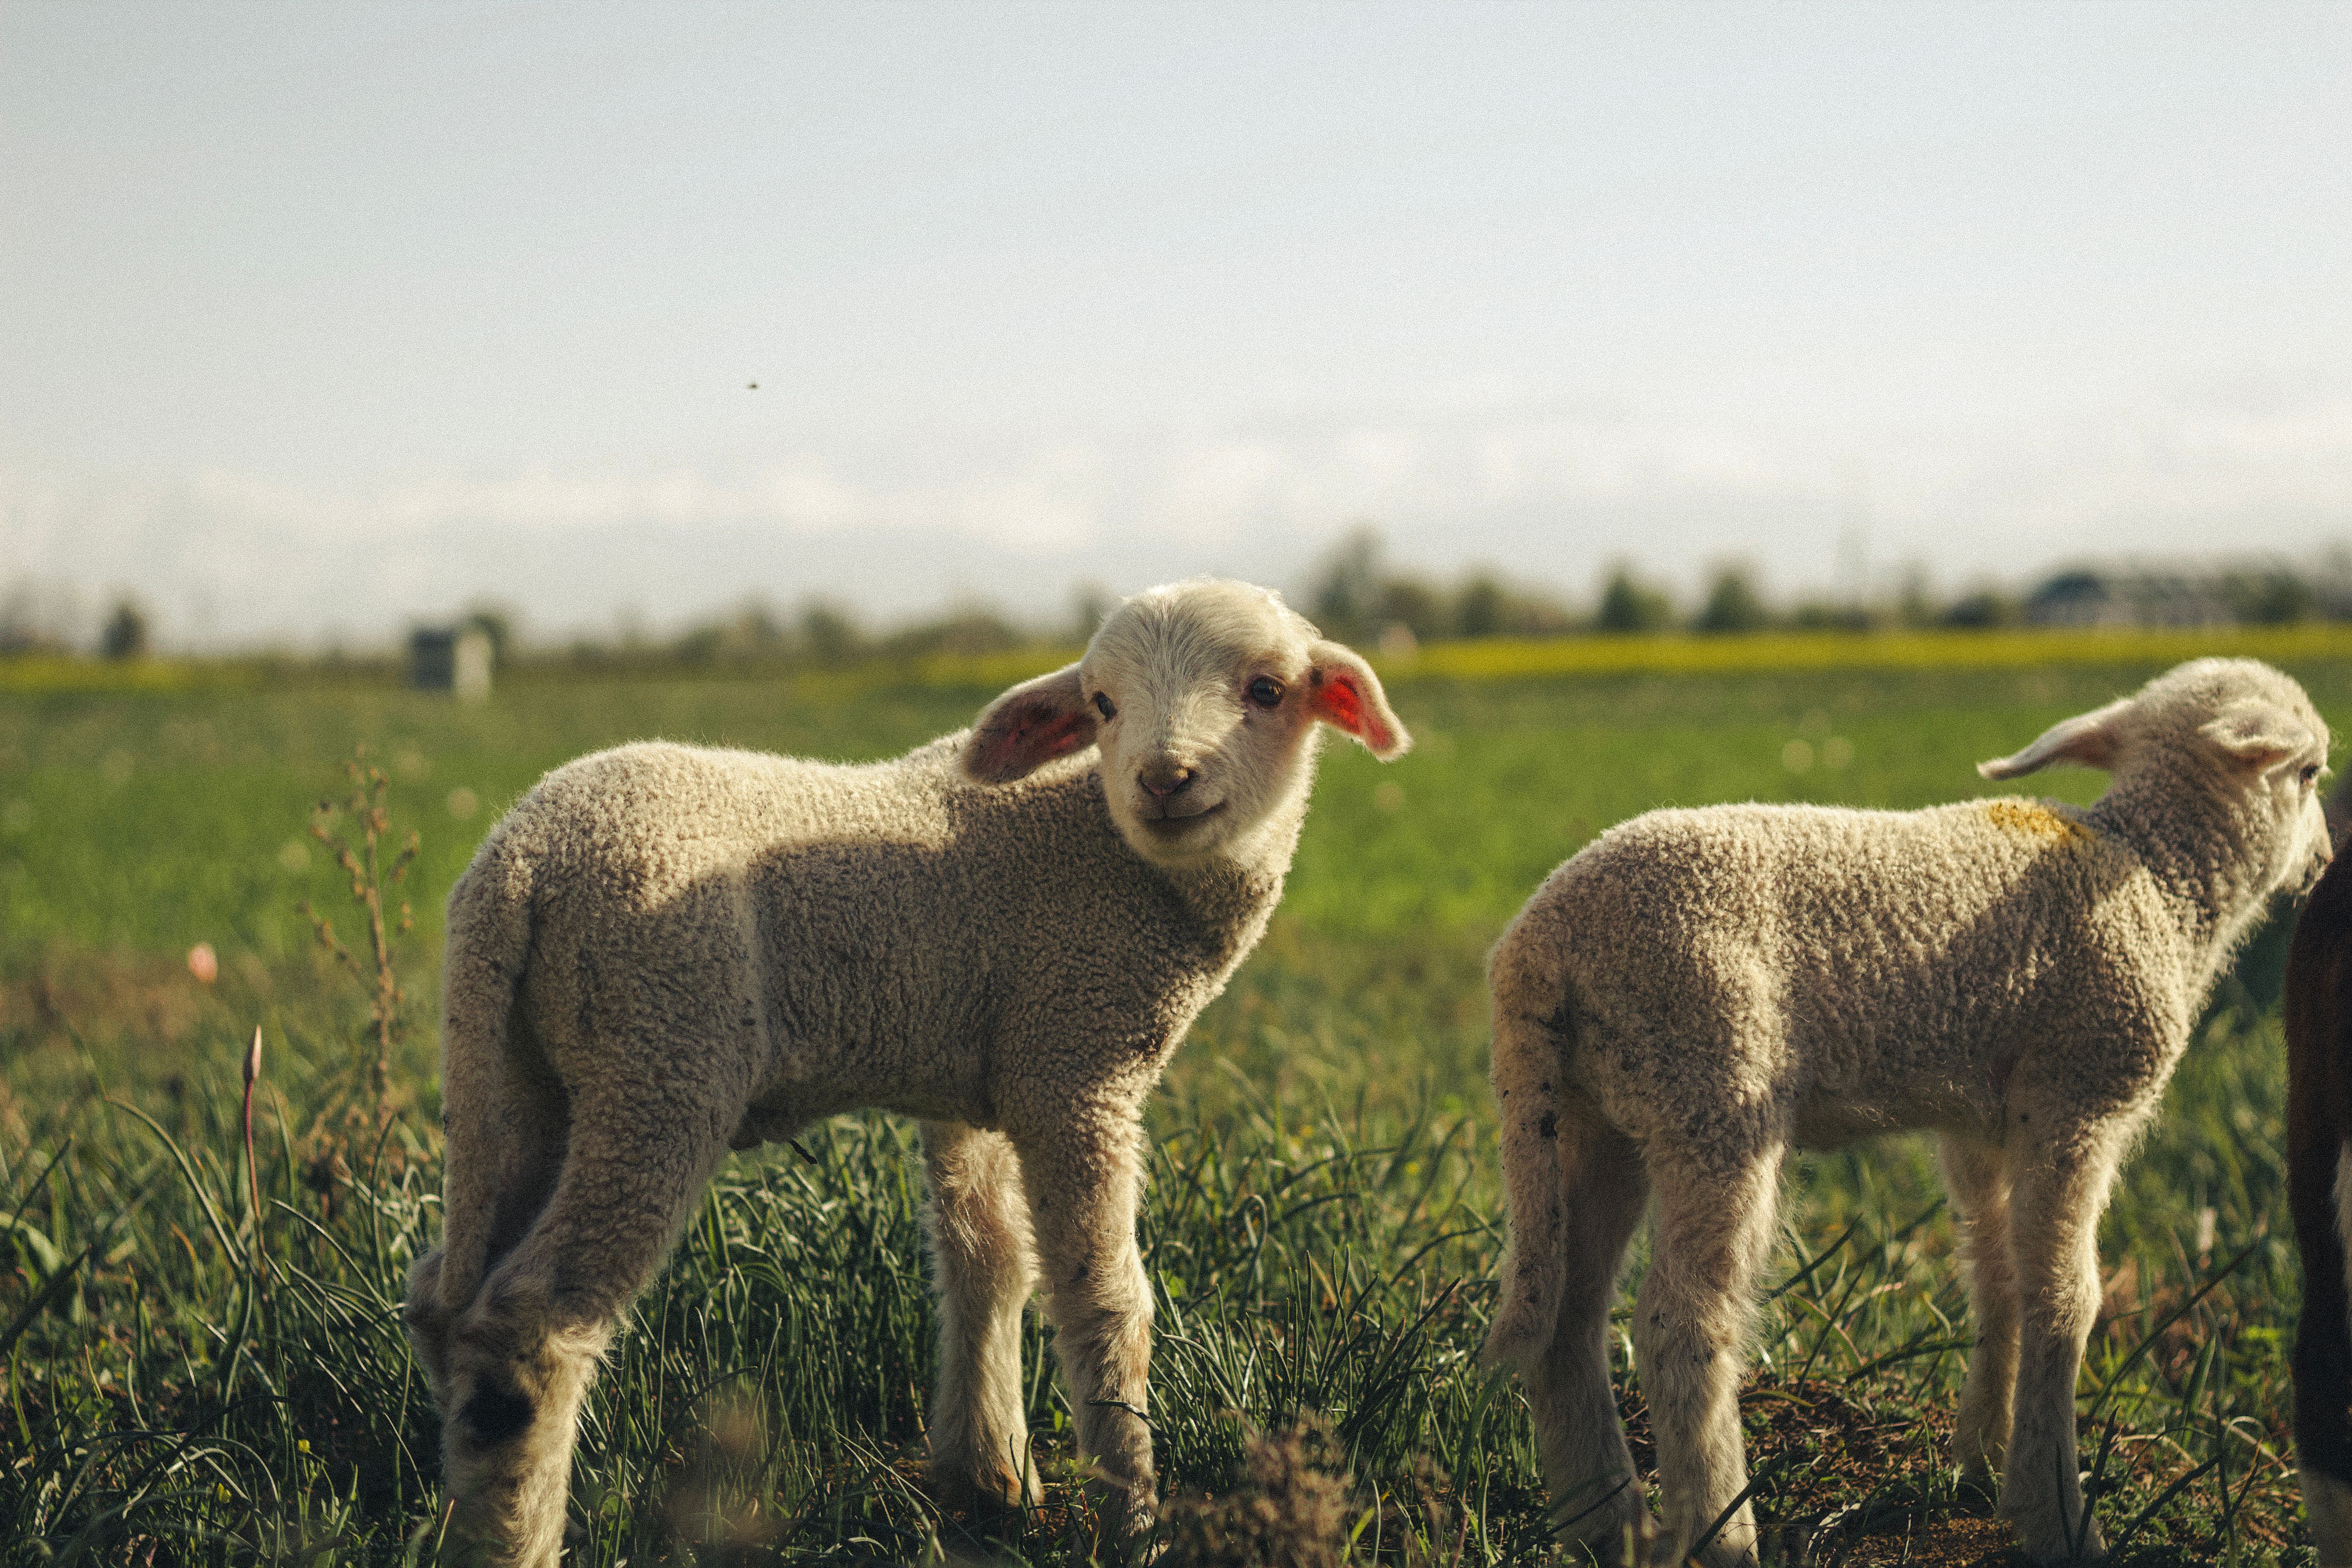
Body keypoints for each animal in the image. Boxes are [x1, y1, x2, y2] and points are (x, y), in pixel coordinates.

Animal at [399, 579, 1411, 1567]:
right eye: (1102, 704)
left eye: (1266, 691)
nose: (1163, 780)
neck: (1116, 854)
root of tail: (518, 864)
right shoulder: (1074, 1065)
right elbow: (1102, 1297)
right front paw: (1133, 1522)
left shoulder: (982, 1076)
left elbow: (986, 1260)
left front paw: (991, 1480)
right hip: (661, 1052)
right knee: (530, 1324)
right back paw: (517, 1541)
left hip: (526, 1072)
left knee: (444, 1294)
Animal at [1482, 657, 2331, 1566]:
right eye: (2313, 773)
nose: (2324, 861)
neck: (2157, 880)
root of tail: (1537, 948)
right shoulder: (2080, 1094)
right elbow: (2066, 1299)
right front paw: (2057, 1515)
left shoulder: (1980, 1124)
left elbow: (1999, 1281)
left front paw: (1982, 1464)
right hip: (1710, 1086)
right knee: (1680, 1324)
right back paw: (1722, 1532)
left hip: (1595, 1113)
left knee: (1568, 1318)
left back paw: (1611, 1525)